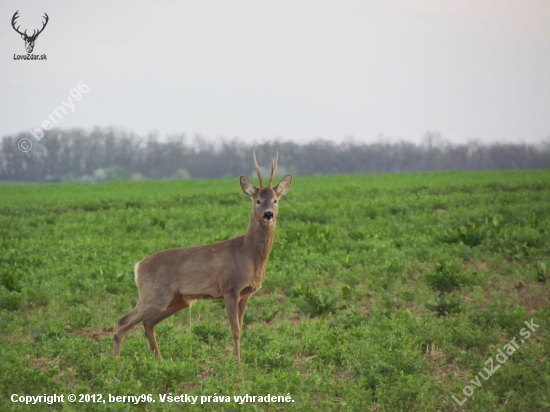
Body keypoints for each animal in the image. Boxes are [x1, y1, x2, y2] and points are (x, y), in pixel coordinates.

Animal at [113, 151, 294, 364]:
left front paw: (237, 361)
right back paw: (114, 362)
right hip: (154, 293)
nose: (268, 214)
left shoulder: (245, 293)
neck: (248, 254)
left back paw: (160, 360)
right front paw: (237, 364)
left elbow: (240, 328)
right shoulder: (230, 288)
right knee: (123, 321)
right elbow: (235, 329)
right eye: (257, 200)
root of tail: (138, 266)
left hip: (179, 299)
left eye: (275, 200)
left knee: (147, 323)